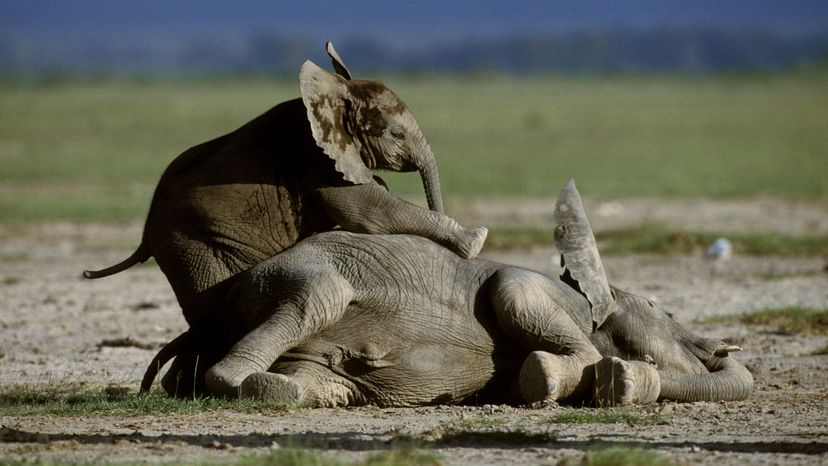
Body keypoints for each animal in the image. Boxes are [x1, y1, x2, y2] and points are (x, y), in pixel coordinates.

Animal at [81, 42, 488, 328]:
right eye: (397, 133)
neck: (334, 94)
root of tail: (145, 232)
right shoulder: (315, 159)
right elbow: (368, 212)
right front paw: (475, 240)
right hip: (190, 246)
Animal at [141, 180, 752, 406]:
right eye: (660, 308)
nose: (716, 348)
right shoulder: (536, 287)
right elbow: (518, 295)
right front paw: (588, 376)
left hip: (313, 360)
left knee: (322, 384)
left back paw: (279, 388)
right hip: (298, 275)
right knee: (317, 299)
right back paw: (251, 385)